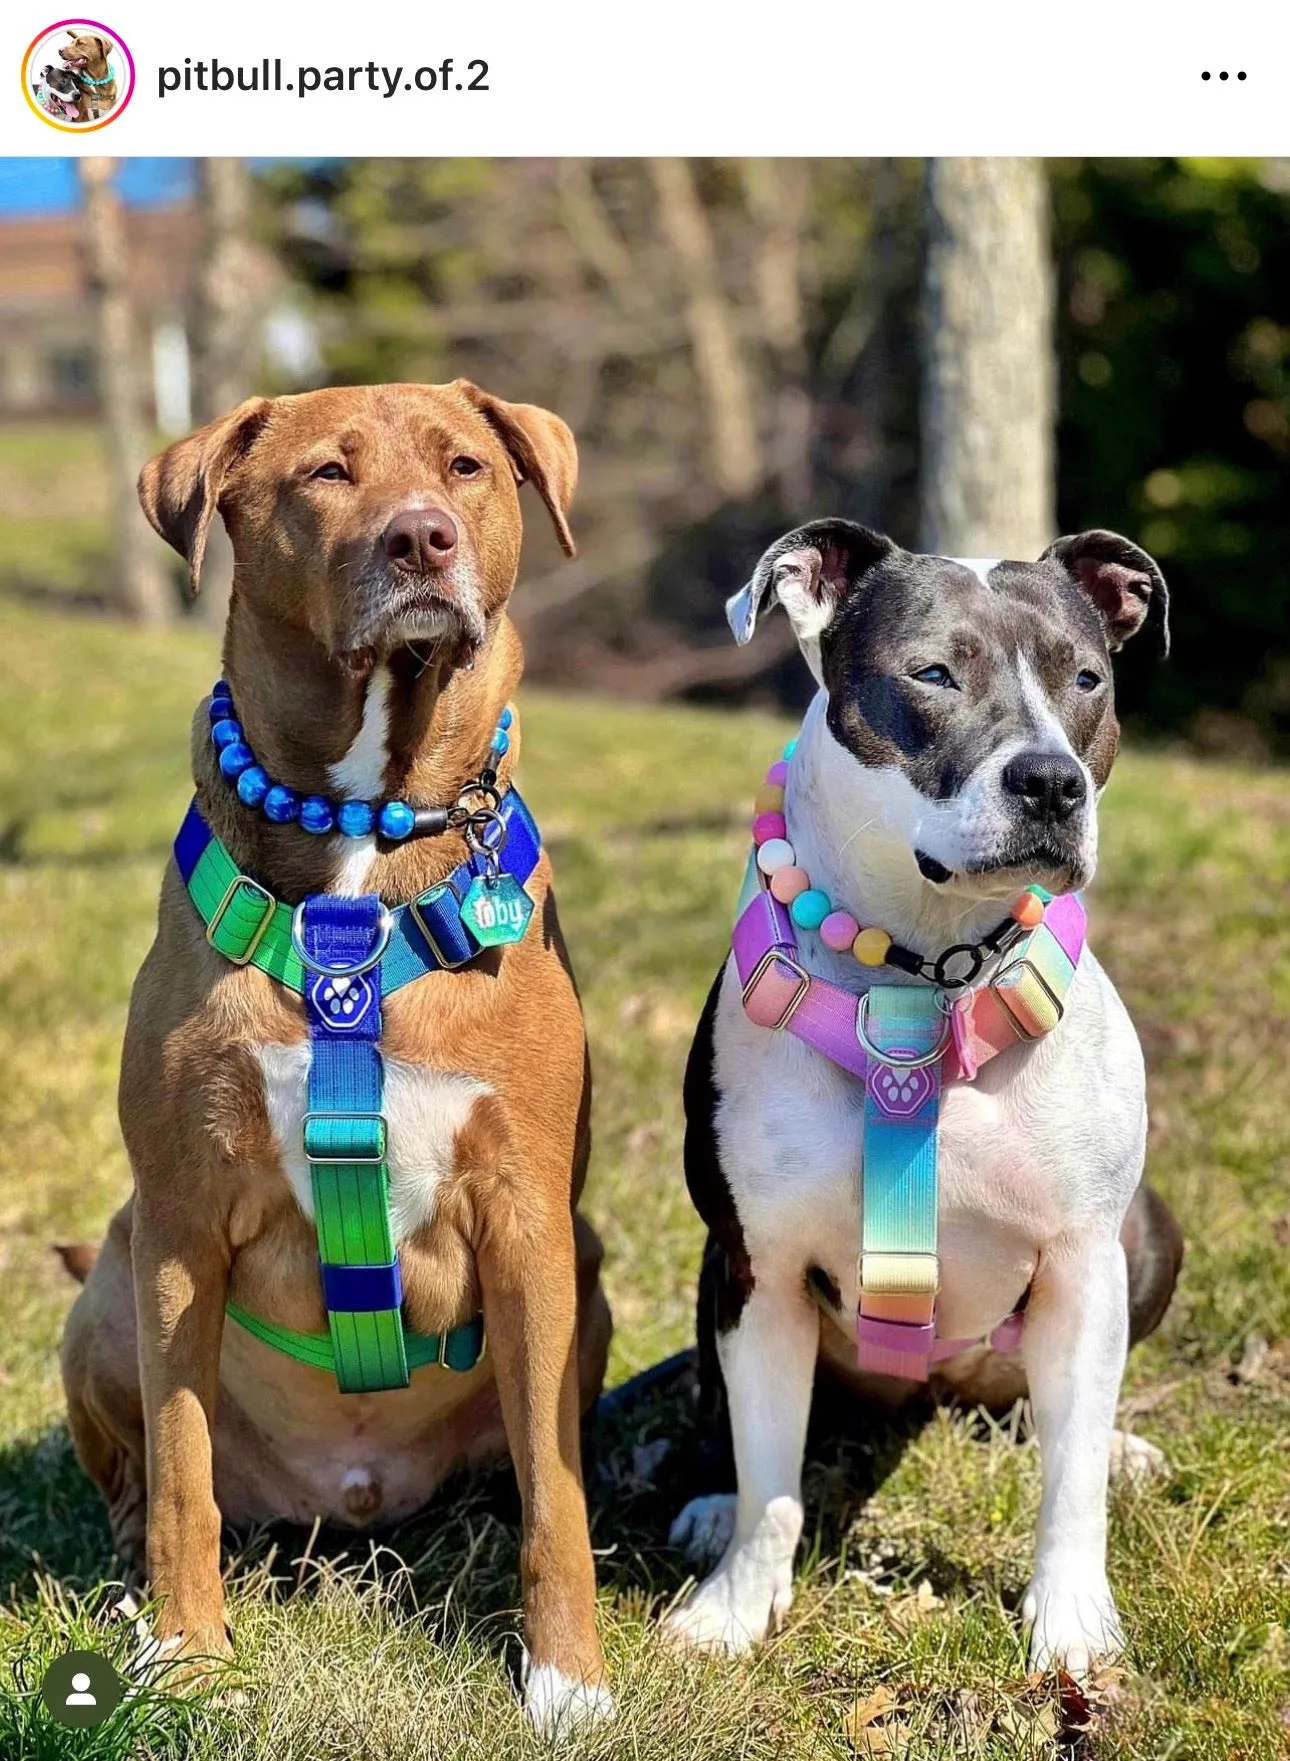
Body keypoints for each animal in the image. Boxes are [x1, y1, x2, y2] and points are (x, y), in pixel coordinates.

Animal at [62, 382, 615, 1732]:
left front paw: (566, 1678)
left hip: (591, 1273)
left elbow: (559, 1495)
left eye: (465, 467)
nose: (422, 540)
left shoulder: (530, 1220)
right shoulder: (180, 1221)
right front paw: (187, 1655)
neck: (367, 824)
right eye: (325, 474)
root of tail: (350, 1494)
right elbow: (184, 1472)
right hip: (107, 1288)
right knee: (141, 1479)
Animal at [668, 517, 1182, 1676]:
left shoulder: (1083, 1265)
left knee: (1058, 1423)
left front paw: (1072, 1624)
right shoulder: (761, 1268)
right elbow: (770, 1475)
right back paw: (708, 1504)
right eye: (933, 674)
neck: (923, 972)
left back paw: (1122, 1444)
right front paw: (738, 1605)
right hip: (716, 1272)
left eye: (1087, 679)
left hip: (1145, 1237)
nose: (1052, 782)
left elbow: (1068, 1484)